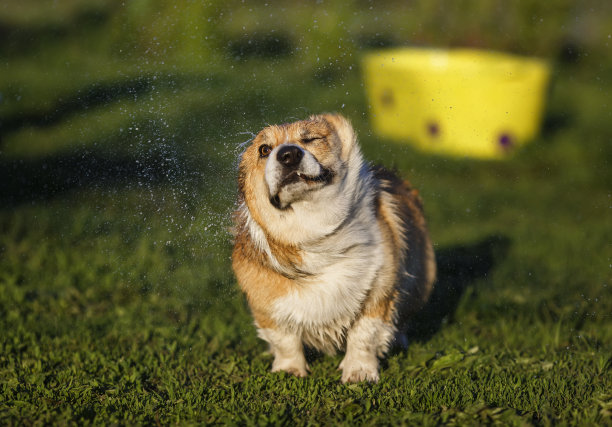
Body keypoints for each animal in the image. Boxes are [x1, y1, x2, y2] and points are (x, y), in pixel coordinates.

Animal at [230, 114, 436, 384]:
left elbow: (363, 336)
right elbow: (285, 341)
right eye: (264, 149)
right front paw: (289, 371)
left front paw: (359, 372)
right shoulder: (267, 306)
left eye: (310, 139)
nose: (288, 154)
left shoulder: (378, 295)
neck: (312, 227)